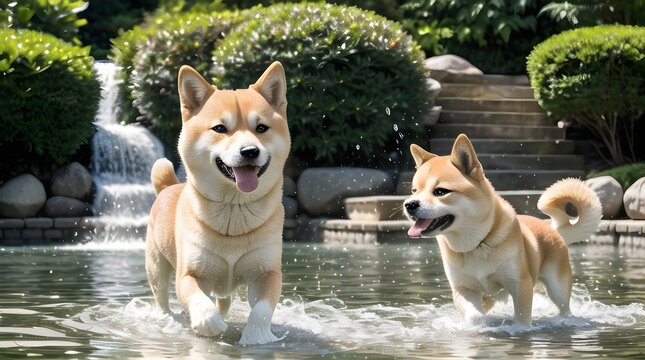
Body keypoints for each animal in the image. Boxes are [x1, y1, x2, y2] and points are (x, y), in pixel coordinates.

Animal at [146, 62, 290, 346]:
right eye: (220, 129)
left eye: (261, 128)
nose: (250, 151)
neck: (234, 211)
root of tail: (168, 187)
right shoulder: (188, 274)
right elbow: (201, 305)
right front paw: (212, 326)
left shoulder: (267, 272)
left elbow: (261, 309)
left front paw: (255, 337)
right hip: (157, 268)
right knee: (162, 299)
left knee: (224, 299)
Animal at [406, 134, 600, 324]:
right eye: (414, 190)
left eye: (440, 191)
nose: (409, 204)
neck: (477, 244)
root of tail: (553, 228)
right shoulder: (463, 288)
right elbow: (475, 316)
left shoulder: (520, 283)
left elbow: (522, 318)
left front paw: (519, 330)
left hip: (557, 287)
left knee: (565, 308)